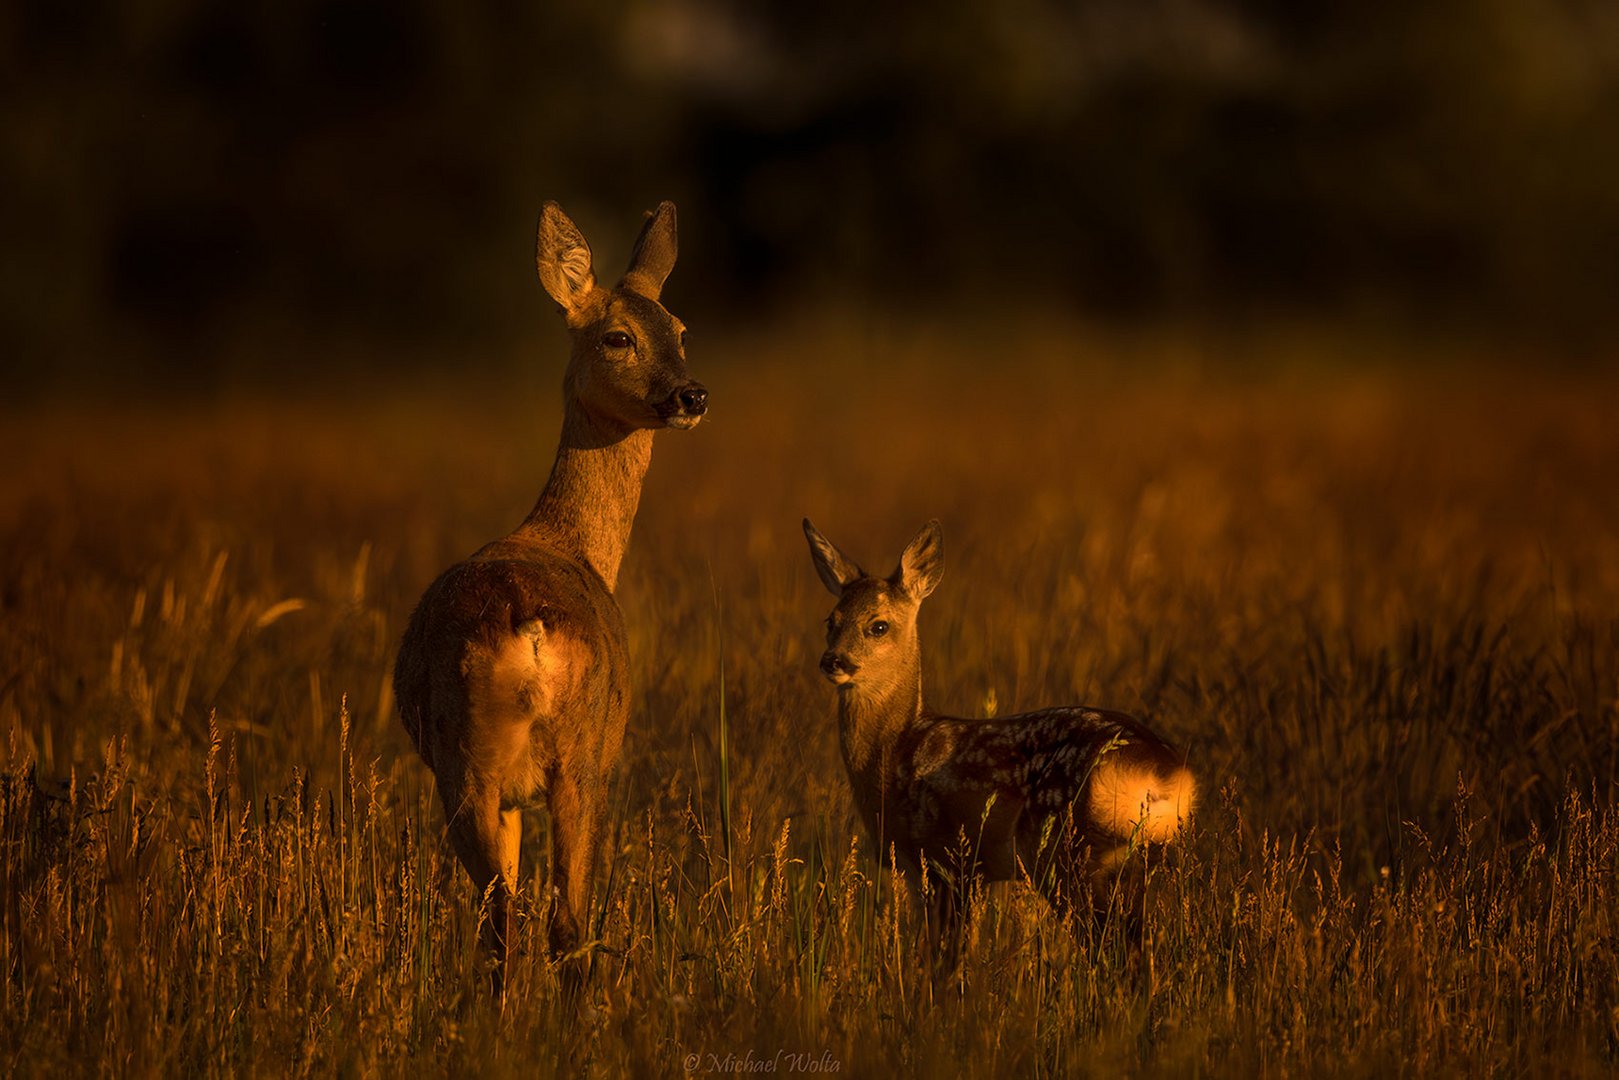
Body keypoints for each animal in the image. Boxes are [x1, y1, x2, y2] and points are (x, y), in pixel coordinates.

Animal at [395, 198, 705, 990]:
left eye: (680, 328)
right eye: (618, 336)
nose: (691, 394)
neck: (573, 544)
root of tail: (526, 626)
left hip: (477, 767)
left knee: (509, 924)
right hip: (572, 758)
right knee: (556, 924)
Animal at [803, 521, 1198, 965]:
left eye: (879, 625)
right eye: (830, 621)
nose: (833, 661)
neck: (897, 750)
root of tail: (1162, 773)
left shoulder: (947, 860)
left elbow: (945, 962)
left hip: (1061, 851)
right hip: (1137, 862)